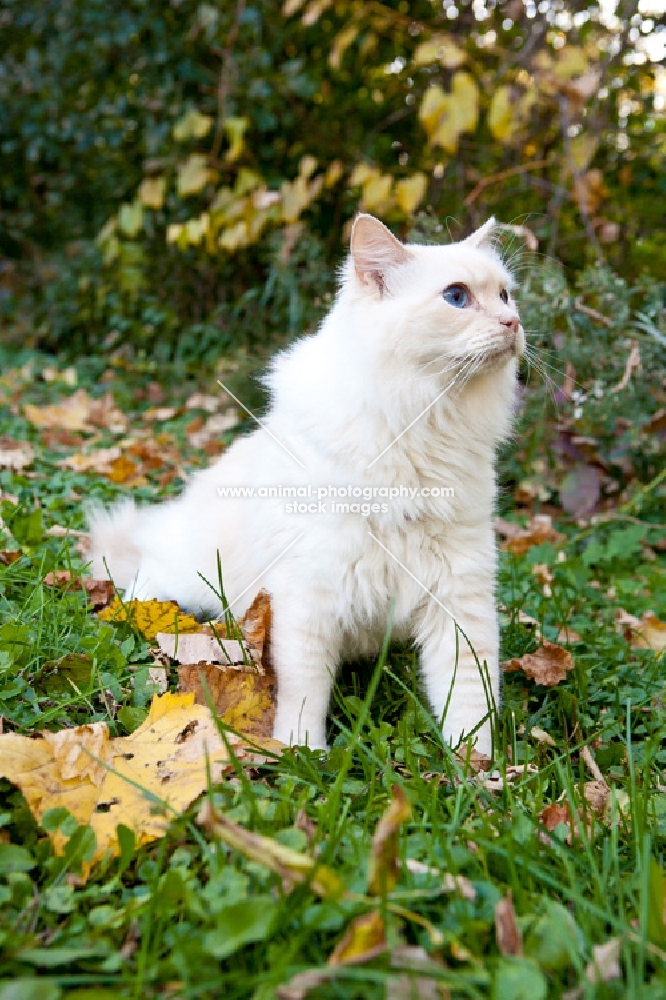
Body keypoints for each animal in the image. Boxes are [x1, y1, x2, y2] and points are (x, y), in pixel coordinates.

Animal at [89, 213, 524, 756]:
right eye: (457, 297)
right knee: (143, 583)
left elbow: (468, 695)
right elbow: (305, 691)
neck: (422, 425)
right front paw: (303, 754)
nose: (513, 324)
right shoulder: (309, 593)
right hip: (187, 576)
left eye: (505, 296)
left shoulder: (459, 589)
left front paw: (477, 767)